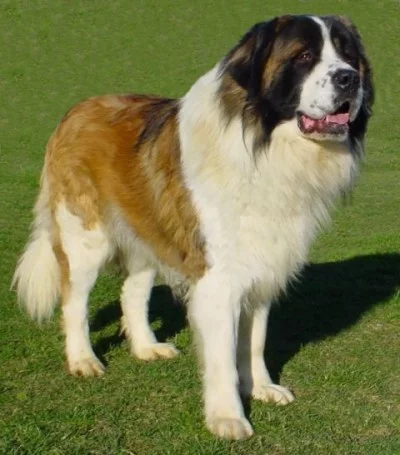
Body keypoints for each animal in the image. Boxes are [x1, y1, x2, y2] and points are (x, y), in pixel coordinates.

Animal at [13, 15, 373, 440]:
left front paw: (261, 386)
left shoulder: (262, 265)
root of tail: (77, 109)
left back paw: (146, 347)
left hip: (148, 233)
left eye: (348, 55)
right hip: (85, 235)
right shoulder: (217, 278)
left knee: (132, 291)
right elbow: (222, 354)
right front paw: (227, 416)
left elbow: (254, 339)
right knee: (74, 300)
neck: (263, 147)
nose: (350, 78)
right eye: (303, 56)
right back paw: (83, 359)